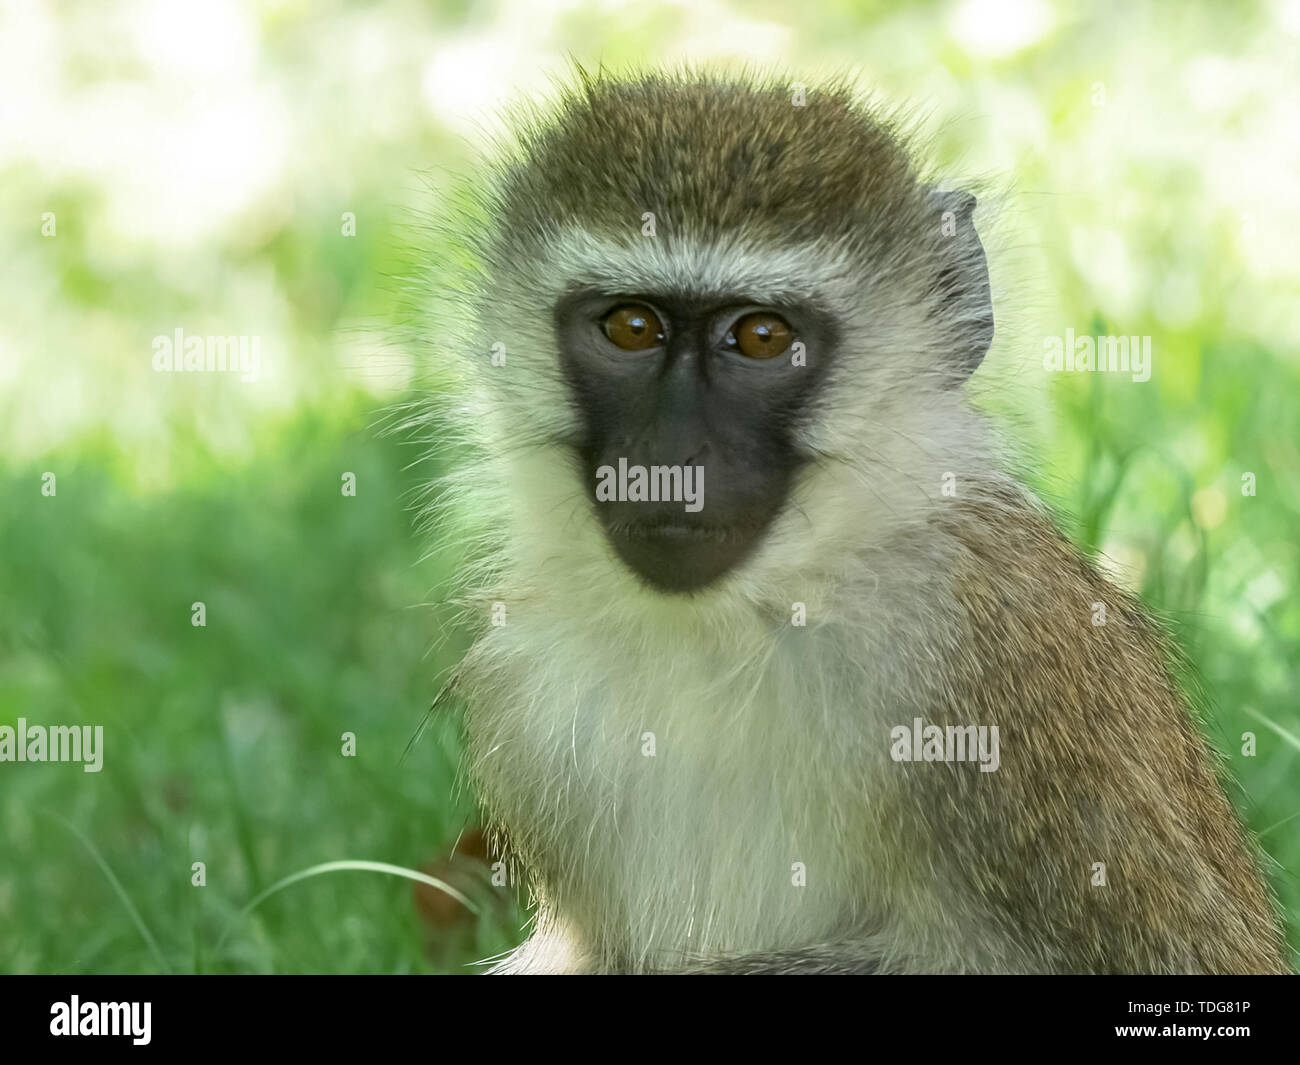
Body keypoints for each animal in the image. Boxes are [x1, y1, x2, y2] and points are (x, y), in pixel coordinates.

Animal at [431, 70, 1284, 972]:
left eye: (761, 336)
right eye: (631, 327)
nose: (674, 455)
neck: (759, 609)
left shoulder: (996, 657)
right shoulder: (524, 685)